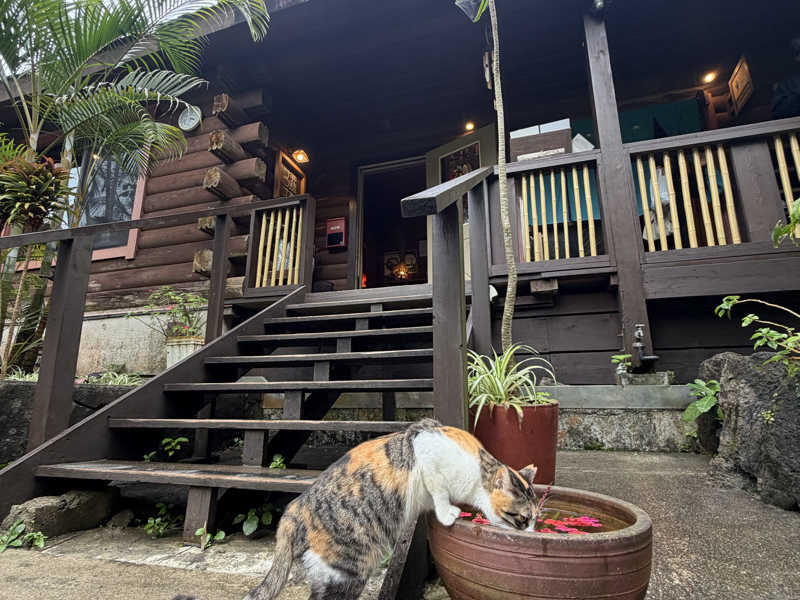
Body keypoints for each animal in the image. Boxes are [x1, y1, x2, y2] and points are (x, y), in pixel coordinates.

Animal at [174, 418, 539, 600]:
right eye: (523, 518)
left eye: (537, 520)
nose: (534, 533)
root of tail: (294, 509)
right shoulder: (426, 450)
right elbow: (438, 491)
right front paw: (448, 512)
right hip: (348, 569)